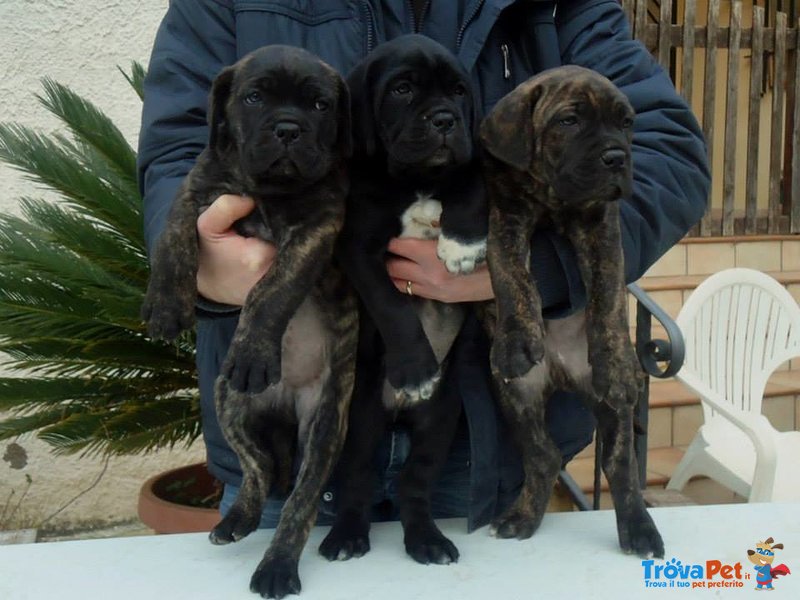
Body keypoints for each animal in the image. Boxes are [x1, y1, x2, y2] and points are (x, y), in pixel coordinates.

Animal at [141, 44, 356, 596]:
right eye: (255, 97)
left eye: (321, 105)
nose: (288, 129)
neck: (267, 188)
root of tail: (283, 404)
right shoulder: (200, 191)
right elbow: (172, 239)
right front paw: (165, 304)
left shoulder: (315, 227)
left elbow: (269, 291)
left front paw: (254, 350)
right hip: (228, 402)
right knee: (256, 468)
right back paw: (237, 519)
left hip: (325, 424)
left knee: (299, 502)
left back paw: (278, 565)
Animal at [318, 35, 488, 564]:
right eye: (402, 88)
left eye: (459, 91)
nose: (446, 120)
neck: (414, 180)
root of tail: (399, 414)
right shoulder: (358, 249)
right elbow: (393, 307)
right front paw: (415, 369)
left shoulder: (466, 161)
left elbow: (471, 179)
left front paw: (462, 243)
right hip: (360, 421)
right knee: (356, 479)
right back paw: (346, 536)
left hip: (440, 422)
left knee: (415, 482)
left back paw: (427, 539)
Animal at [478, 65, 664, 556]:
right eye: (568, 121)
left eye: (626, 122)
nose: (617, 157)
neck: (552, 195)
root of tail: (563, 371)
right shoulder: (505, 217)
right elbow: (512, 276)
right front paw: (516, 340)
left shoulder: (602, 226)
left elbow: (606, 297)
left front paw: (615, 357)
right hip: (516, 395)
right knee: (544, 457)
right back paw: (520, 519)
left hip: (611, 409)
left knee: (620, 467)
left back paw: (640, 530)